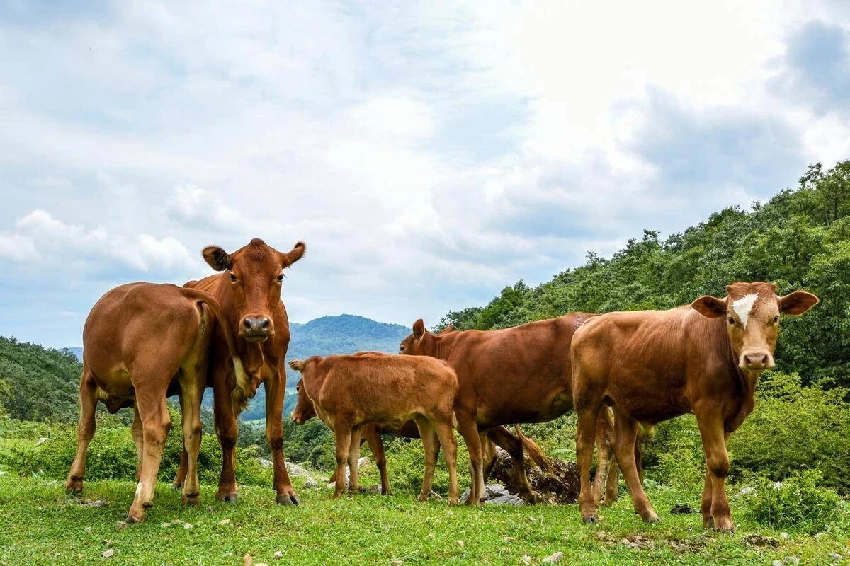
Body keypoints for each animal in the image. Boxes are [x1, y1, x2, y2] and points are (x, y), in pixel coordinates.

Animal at [65, 284, 245, 524]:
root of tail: (182, 293)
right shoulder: (135, 395)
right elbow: (137, 432)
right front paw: (140, 476)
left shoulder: (87, 381)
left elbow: (86, 428)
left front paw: (74, 480)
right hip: (192, 375)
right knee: (192, 429)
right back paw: (191, 494)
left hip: (149, 378)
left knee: (157, 426)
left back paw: (139, 506)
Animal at [172, 239, 304, 506]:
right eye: (233, 276)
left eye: (280, 276)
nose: (256, 324)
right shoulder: (222, 375)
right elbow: (228, 433)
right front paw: (226, 488)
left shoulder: (278, 373)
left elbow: (275, 433)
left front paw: (285, 489)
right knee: (188, 430)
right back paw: (181, 480)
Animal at [288, 352, 476, 504]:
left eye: (297, 387)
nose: (294, 417)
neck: (324, 376)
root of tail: (445, 365)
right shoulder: (356, 425)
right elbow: (353, 457)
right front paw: (353, 489)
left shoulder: (343, 421)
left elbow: (341, 456)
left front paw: (338, 491)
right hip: (423, 418)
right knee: (431, 451)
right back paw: (423, 495)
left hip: (440, 416)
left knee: (450, 448)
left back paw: (453, 497)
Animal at [398, 316, 608, 506]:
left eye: (402, 347)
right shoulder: (483, 422)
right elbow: (485, 458)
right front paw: (477, 497)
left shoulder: (465, 413)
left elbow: (475, 457)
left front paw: (475, 499)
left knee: (603, 443)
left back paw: (596, 496)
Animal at [568, 282, 816, 532]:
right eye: (731, 319)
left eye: (775, 318)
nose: (755, 358)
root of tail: (589, 323)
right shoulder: (707, 407)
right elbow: (719, 462)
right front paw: (723, 519)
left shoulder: (728, 414)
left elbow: (711, 461)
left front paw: (708, 517)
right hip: (587, 398)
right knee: (585, 446)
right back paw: (588, 511)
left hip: (624, 404)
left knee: (624, 451)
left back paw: (647, 512)